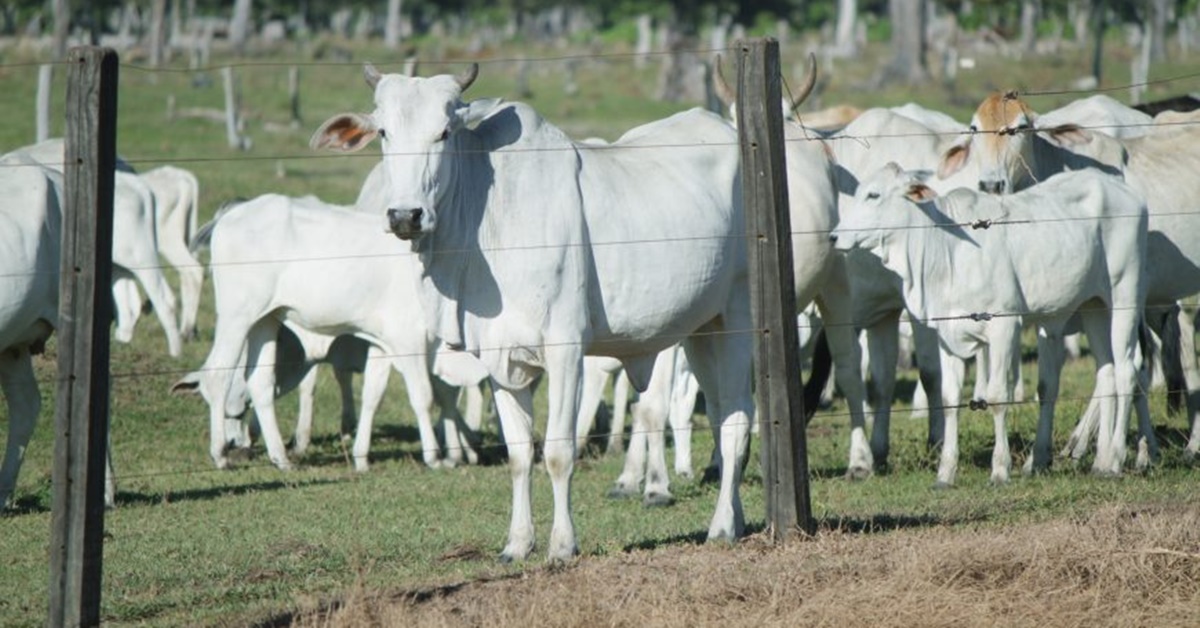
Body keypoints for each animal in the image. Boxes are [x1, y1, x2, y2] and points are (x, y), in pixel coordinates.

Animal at [181, 194, 487, 475]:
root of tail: (233, 213)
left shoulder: (382, 343)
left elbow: (373, 395)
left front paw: (361, 458)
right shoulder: (408, 338)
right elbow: (424, 395)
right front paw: (435, 457)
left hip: (265, 320)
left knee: (260, 382)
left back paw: (281, 458)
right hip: (237, 316)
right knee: (216, 375)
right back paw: (220, 454)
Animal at [314, 65, 753, 564]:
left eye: (444, 132)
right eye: (385, 132)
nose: (406, 215)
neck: (486, 222)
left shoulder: (565, 350)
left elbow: (559, 453)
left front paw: (562, 546)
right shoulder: (499, 357)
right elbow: (520, 453)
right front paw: (517, 543)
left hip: (739, 314)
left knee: (737, 421)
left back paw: (722, 526)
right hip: (703, 327)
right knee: (721, 414)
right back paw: (735, 518)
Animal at [830, 164, 1147, 485]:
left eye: (873, 195)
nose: (832, 237)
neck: (946, 251)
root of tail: (1119, 187)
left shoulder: (1004, 327)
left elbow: (996, 397)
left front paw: (1000, 469)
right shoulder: (947, 335)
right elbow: (949, 398)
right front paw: (945, 473)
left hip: (1125, 297)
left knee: (1127, 370)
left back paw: (1116, 458)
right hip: (1094, 307)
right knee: (1106, 372)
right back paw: (1101, 461)